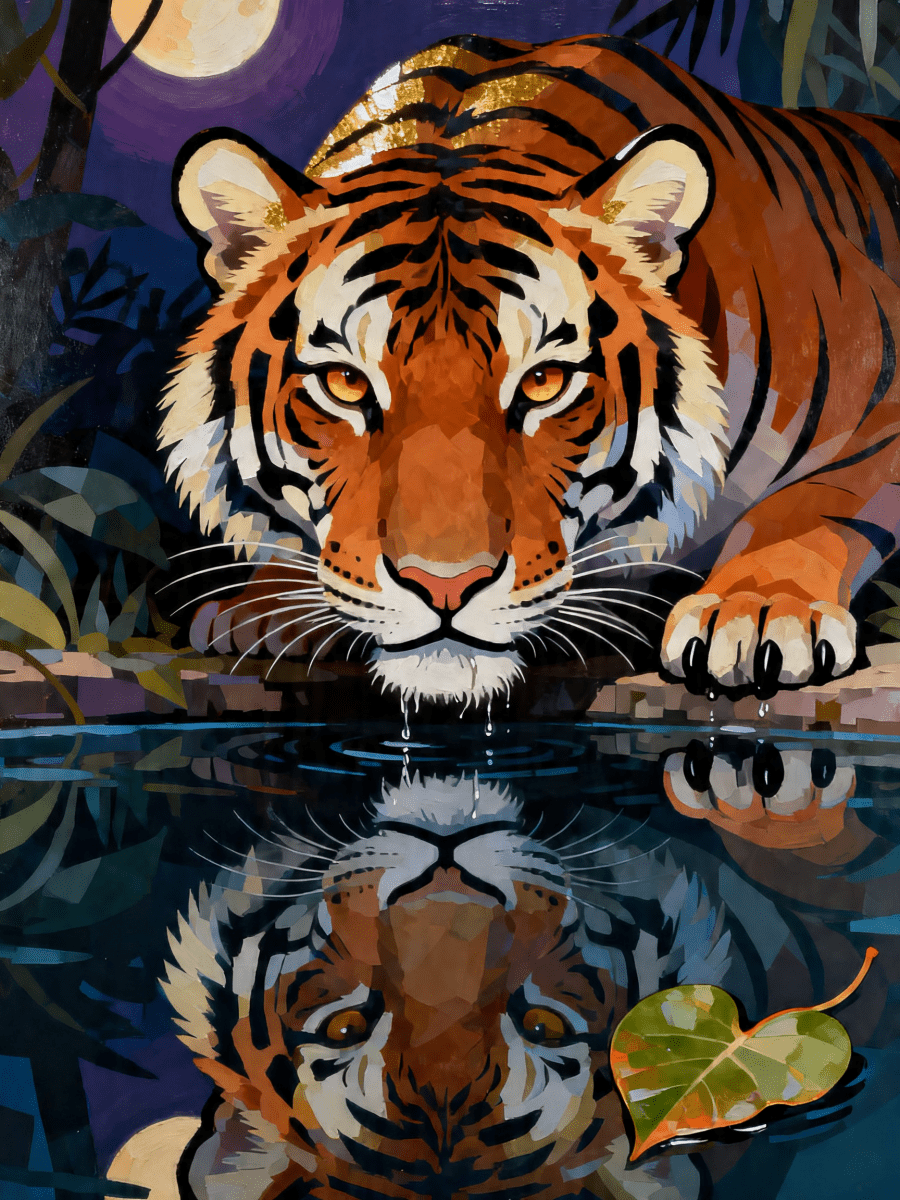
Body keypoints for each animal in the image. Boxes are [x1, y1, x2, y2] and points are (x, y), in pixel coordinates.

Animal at [159, 33, 900, 708]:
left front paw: (755, 610)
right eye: (346, 383)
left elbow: (807, 504)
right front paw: (262, 606)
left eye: (544, 383)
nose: (445, 588)